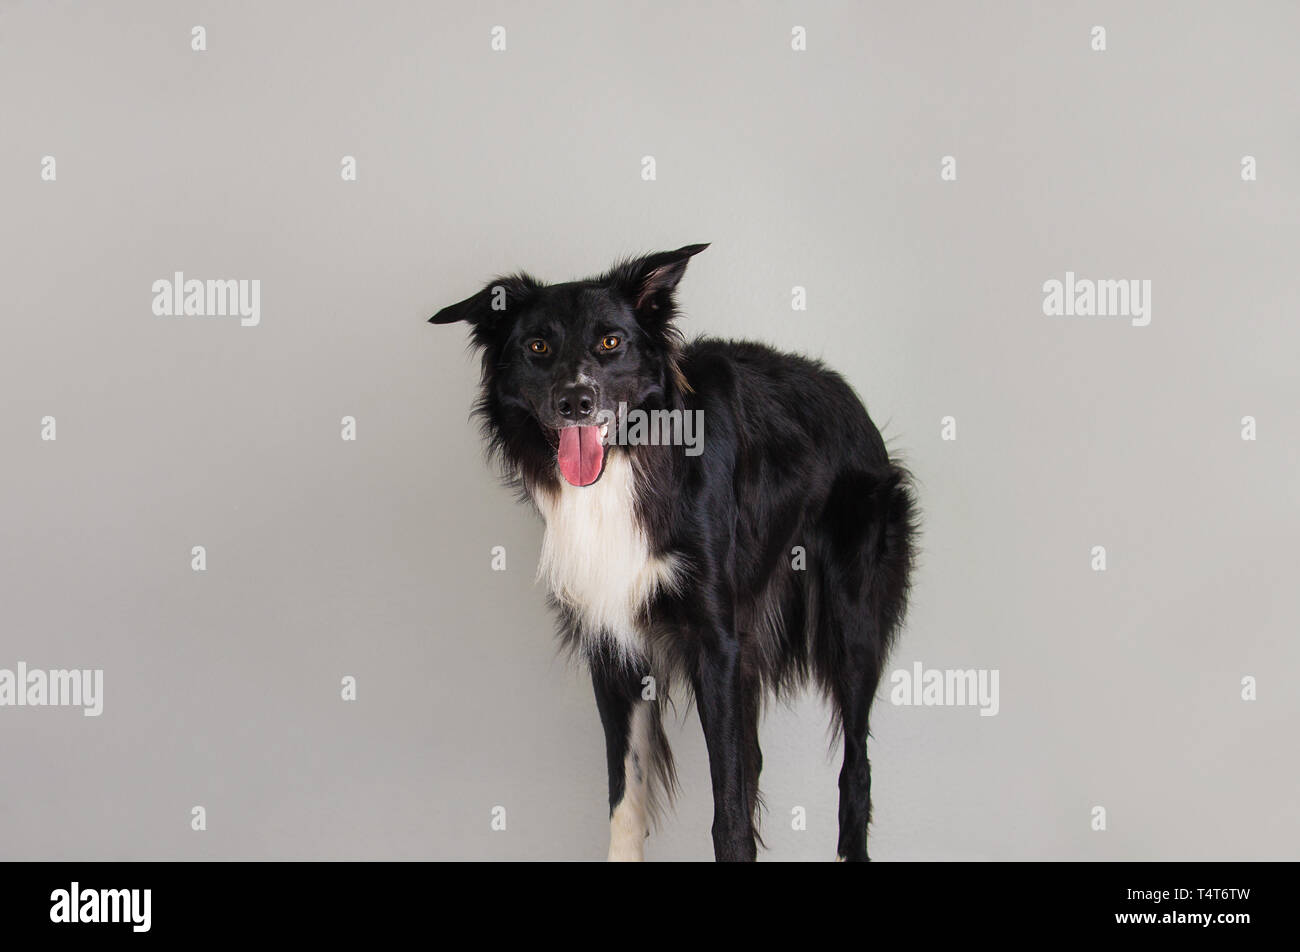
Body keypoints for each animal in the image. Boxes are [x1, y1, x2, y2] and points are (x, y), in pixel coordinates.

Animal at [428, 245, 915, 863]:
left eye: (611, 341)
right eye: (537, 347)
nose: (575, 402)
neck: (630, 461)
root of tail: (846, 392)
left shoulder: (716, 641)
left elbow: (728, 810)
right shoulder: (613, 647)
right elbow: (626, 799)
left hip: (852, 624)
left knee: (855, 769)